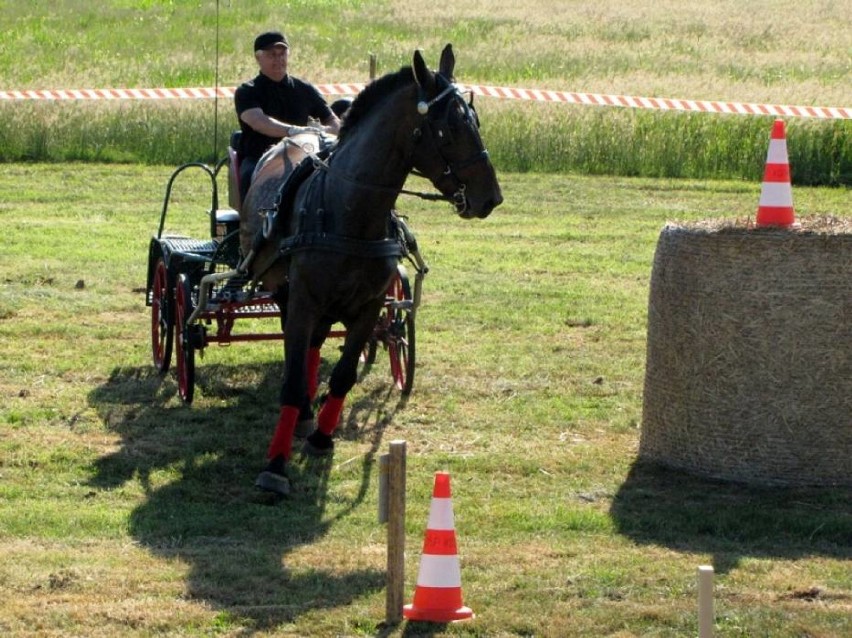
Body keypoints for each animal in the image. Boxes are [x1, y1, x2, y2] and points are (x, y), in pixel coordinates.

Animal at [241, 46, 500, 496]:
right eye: (449, 128)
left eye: (475, 119)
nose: (491, 197)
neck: (348, 212)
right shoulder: (304, 302)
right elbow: (291, 380)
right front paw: (276, 466)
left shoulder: (369, 307)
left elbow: (343, 375)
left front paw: (322, 437)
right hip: (287, 294)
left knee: (315, 347)